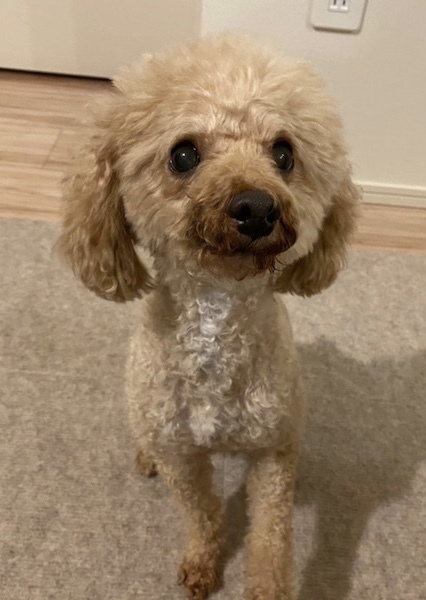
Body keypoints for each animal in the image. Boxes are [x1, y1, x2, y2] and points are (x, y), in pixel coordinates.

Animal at [56, 34, 359, 600]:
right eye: (183, 154)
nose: (257, 207)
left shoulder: (272, 451)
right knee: (148, 438)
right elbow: (200, 512)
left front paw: (267, 588)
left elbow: (271, 535)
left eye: (284, 153)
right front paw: (202, 563)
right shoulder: (183, 457)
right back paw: (144, 456)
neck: (218, 312)